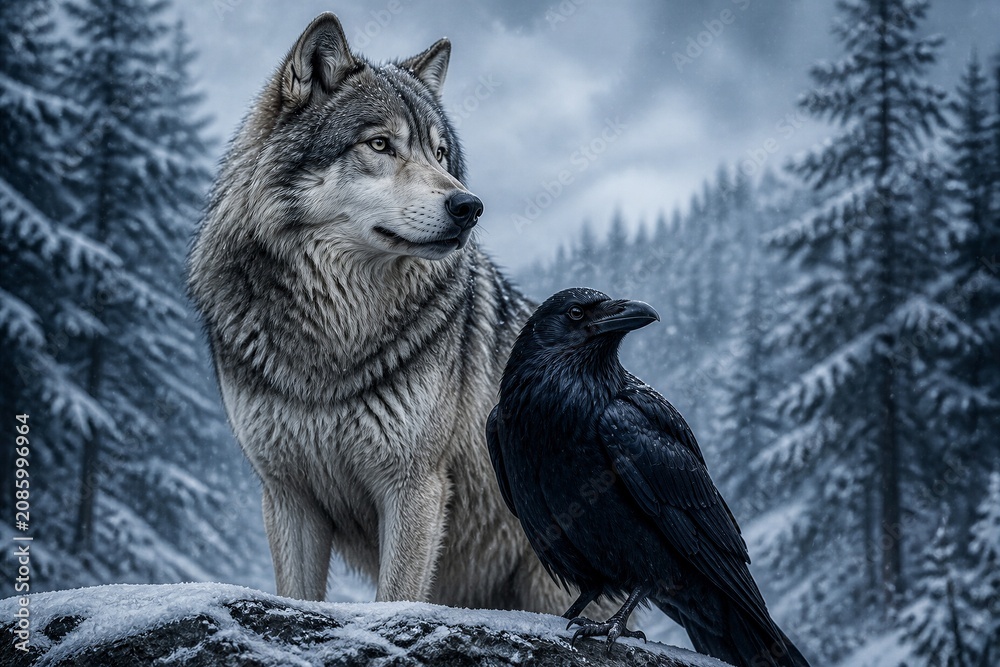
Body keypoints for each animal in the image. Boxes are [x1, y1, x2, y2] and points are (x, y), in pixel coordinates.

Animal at [188, 13, 580, 614]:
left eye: (439, 153)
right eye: (380, 144)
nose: (469, 206)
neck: (333, 334)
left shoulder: (414, 487)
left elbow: (396, 597)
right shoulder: (288, 497)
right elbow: (297, 594)